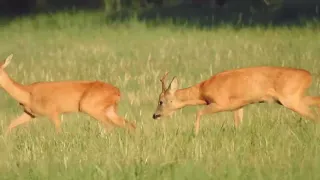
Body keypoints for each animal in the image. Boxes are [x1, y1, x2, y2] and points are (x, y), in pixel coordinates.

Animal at [0, 54, 136, 134]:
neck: (28, 94)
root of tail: (117, 91)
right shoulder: (29, 114)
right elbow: (10, 125)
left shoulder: (53, 111)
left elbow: (58, 131)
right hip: (109, 109)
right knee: (129, 124)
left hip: (89, 106)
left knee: (110, 125)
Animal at [151, 67, 320, 134]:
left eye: (161, 101)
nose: (155, 115)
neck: (202, 91)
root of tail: (309, 76)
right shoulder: (238, 106)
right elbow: (238, 124)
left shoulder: (221, 103)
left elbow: (198, 113)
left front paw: (195, 134)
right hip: (297, 97)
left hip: (291, 99)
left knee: (314, 115)